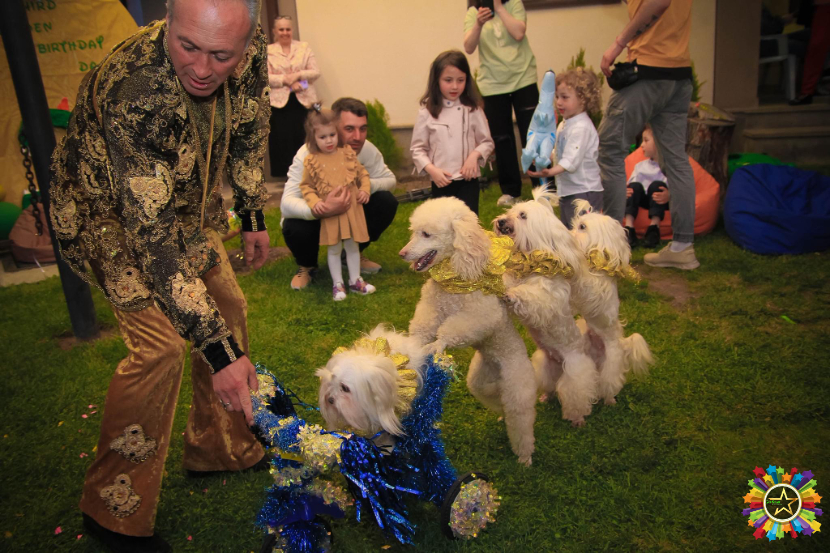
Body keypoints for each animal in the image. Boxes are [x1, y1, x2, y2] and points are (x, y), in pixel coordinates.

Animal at [402, 196, 540, 464]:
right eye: (413, 231)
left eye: (426, 234)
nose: (403, 253)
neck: (457, 273)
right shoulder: (432, 306)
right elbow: (423, 327)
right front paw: (412, 344)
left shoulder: (481, 315)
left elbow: (452, 330)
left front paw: (439, 343)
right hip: (480, 381)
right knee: (496, 400)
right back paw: (502, 414)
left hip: (518, 387)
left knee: (520, 420)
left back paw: (525, 457)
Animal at [490, 188, 600, 424]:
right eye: (510, 211)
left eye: (522, 215)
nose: (500, 221)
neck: (530, 262)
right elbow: (507, 280)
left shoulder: (547, 299)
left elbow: (531, 296)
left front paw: (512, 295)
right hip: (545, 364)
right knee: (551, 386)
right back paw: (545, 396)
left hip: (575, 371)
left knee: (576, 394)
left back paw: (577, 418)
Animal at [572, 198, 656, 402]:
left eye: (582, 227)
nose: (568, 232)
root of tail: (621, 342)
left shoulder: (593, 289)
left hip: (611, 366)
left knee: (609, 384)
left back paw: (610, 400)